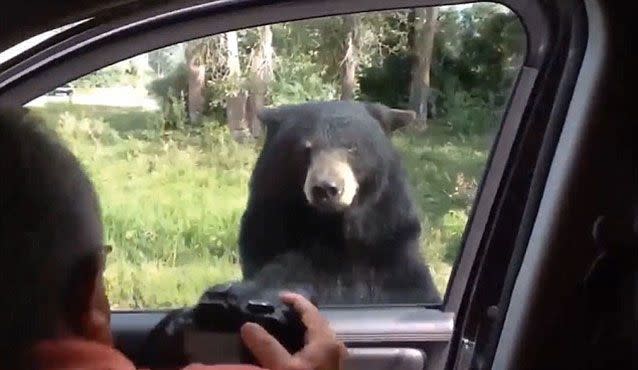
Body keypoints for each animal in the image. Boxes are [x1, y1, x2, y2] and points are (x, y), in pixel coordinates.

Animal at [238, 100, 442, 304]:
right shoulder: (271, 228)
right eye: (306, 148)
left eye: (351, 147)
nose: (325, 188)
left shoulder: (390, 238)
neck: (335, 228)